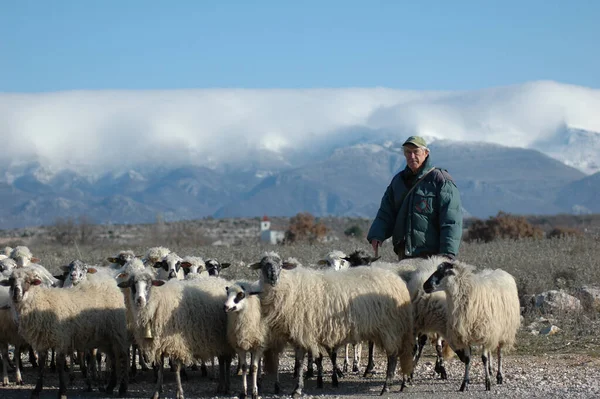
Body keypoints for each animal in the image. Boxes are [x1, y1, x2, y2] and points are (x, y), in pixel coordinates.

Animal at [1, 264, 129, 398]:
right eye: (11, 281)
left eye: (28, 281)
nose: (16, 294)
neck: (41, 301)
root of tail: (112, 284)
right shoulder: (41, 341)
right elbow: (41, 365)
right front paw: (37, 390)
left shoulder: (61, 339)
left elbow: (60, 364)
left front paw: (62, 391)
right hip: (105, 337)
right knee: (113, 357)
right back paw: (111, 386)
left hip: (117, 331)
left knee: (123, 355)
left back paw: (122, 388)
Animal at [118, 270, 236, 398]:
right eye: (132, 286)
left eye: (149, 285)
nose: (140, 300)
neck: (158, 302)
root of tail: (221, 280)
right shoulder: (160, 344)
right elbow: (160, 367)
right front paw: (156, 392)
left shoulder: (175, 342)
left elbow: (175, 367)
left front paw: (179, 393)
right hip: (218, 339)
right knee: (222, 360)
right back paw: (221, 386)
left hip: (224, 340)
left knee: (226, 361)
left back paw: (227, 387)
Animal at [247, 252, 412, 396]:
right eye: (263, 265)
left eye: (280, 265)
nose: (273, 277)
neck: (289, 288)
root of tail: (398, 281)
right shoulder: (303, 333)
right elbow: (305, 361)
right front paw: (299, 387)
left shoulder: (304, 330)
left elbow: (304, 362)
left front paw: (299, 388)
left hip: (390, 327)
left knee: (392, 358)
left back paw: (386, 387)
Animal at [422, 260, 520, 392]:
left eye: (447, 272)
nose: (425, 285)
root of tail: (501, 272)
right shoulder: (465, 334)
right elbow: (468, 359)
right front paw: (464, 384)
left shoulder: (485, 332)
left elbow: (483, 358)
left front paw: (487, 382)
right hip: (493, 331)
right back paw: (490, 369)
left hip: (504, 331)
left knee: (500, 353)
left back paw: (499, 376)